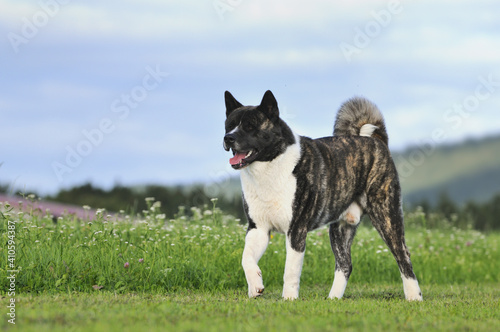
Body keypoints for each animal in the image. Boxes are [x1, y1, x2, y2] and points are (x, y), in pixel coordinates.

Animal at [223, 90, 422, 300]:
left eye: (250, 126)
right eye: (229, 125)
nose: (228, 138)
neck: (269, 166)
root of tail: (377, 141)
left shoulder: (296, 230)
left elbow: (290, 269)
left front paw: (289, 298)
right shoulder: (258, 228)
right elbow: (246, 258)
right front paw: (255, 286)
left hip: (386, 216)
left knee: (403, 255)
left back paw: (414, 297)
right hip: (340, 228)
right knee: (345, 264)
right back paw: (333, 298)